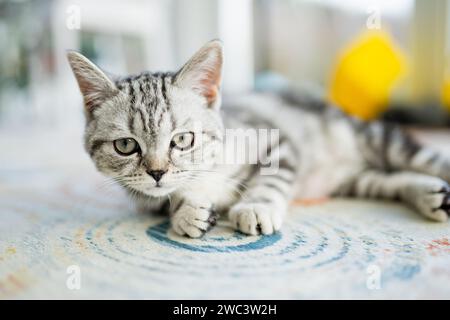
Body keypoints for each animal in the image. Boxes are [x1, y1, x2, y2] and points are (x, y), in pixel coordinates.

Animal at [67, 39, 450, 238]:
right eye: (126, 146)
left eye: (183, 140)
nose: (157, 172)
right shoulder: (147, 198)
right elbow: (166, 201)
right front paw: (187, 212)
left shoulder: (277, 142)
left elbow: (269, 179)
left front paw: (255, 207)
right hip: (354, 179)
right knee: (387, 178)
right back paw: (431, 196)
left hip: (375, 137)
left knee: (424, 160)